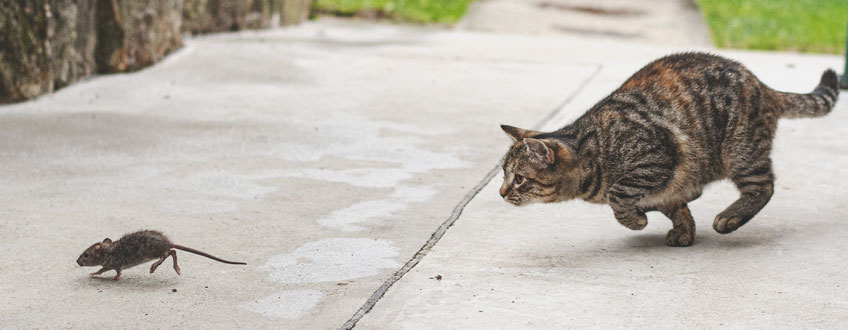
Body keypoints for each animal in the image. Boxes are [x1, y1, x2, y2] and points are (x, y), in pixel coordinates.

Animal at [500, 52, 840, 246]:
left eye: (518, 178)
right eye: (503, 176)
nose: (501, 193)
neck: (592, 154)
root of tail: (761, 84)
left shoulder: (655, 159)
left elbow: (619, 196)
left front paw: (636, 220)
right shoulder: (666, 188)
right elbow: (676, 207)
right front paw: (684, 230)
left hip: (741, 151)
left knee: (763, 187)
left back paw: (731, 217)